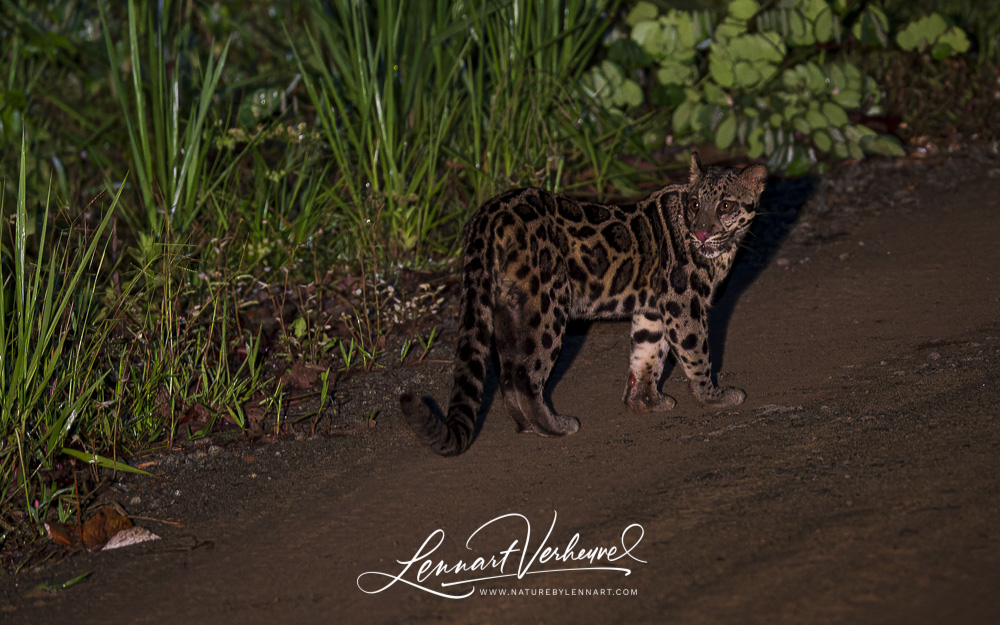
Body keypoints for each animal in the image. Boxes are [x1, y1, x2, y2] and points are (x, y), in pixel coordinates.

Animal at [398, 154, 764, 456]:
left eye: (725, 206)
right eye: (695, 204)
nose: (701, 233)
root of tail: (488, 214)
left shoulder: (652, 309)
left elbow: (647, 355)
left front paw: (645, 401)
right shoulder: (682, 301)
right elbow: (695, 351)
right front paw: (712, 397)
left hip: (510, 310)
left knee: (507, 373)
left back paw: (526, 426)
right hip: (548, 306)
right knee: (526, 376)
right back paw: (555, 427)